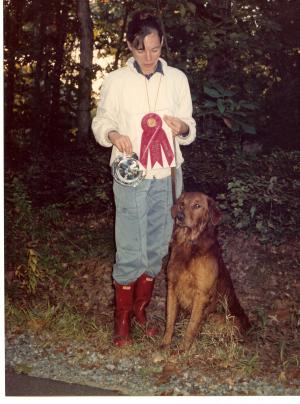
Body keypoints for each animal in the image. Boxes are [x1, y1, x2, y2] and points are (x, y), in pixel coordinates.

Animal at [162, 193, 251, 350]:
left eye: (197, 205)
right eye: (182, 204)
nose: (179, 216)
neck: (188, 243)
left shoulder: (201, 294)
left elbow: (192, 325)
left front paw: (183, 349)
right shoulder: (171, 286)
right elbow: (170, 319)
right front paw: (165, 343)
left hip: (217, 317)